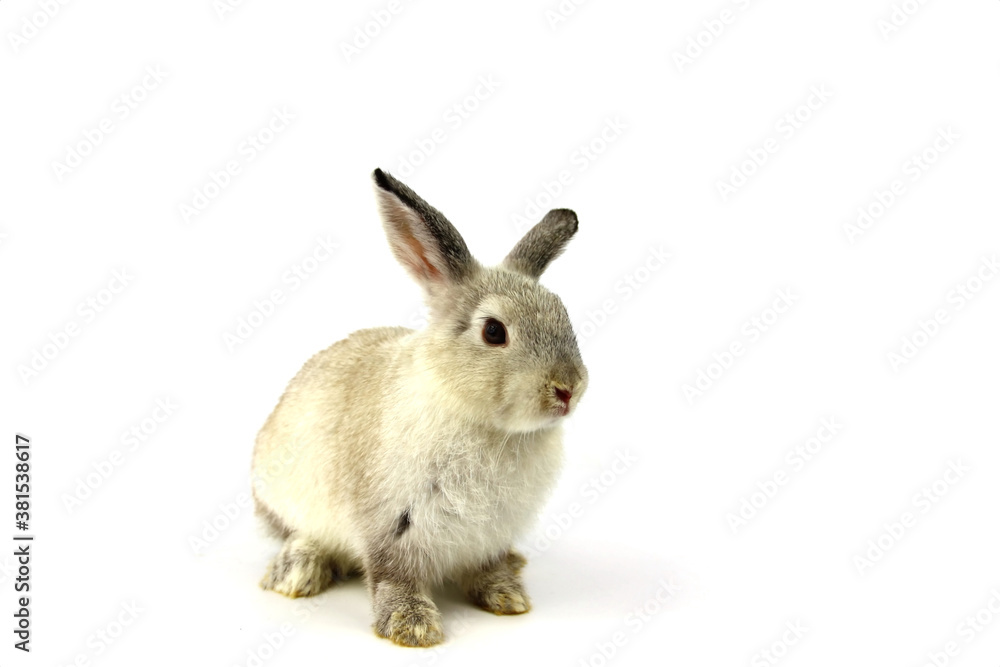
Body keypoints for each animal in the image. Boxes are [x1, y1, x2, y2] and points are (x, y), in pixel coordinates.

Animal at [251, 168, 588, 647]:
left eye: (564, 315)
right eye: (493, 331)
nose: (568, 388)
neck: (488, 425)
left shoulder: (491, 533)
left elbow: (488, 567)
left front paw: (507, 597)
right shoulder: (391, 525)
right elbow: (393, 574)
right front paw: (411, 627)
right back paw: (296, 572)